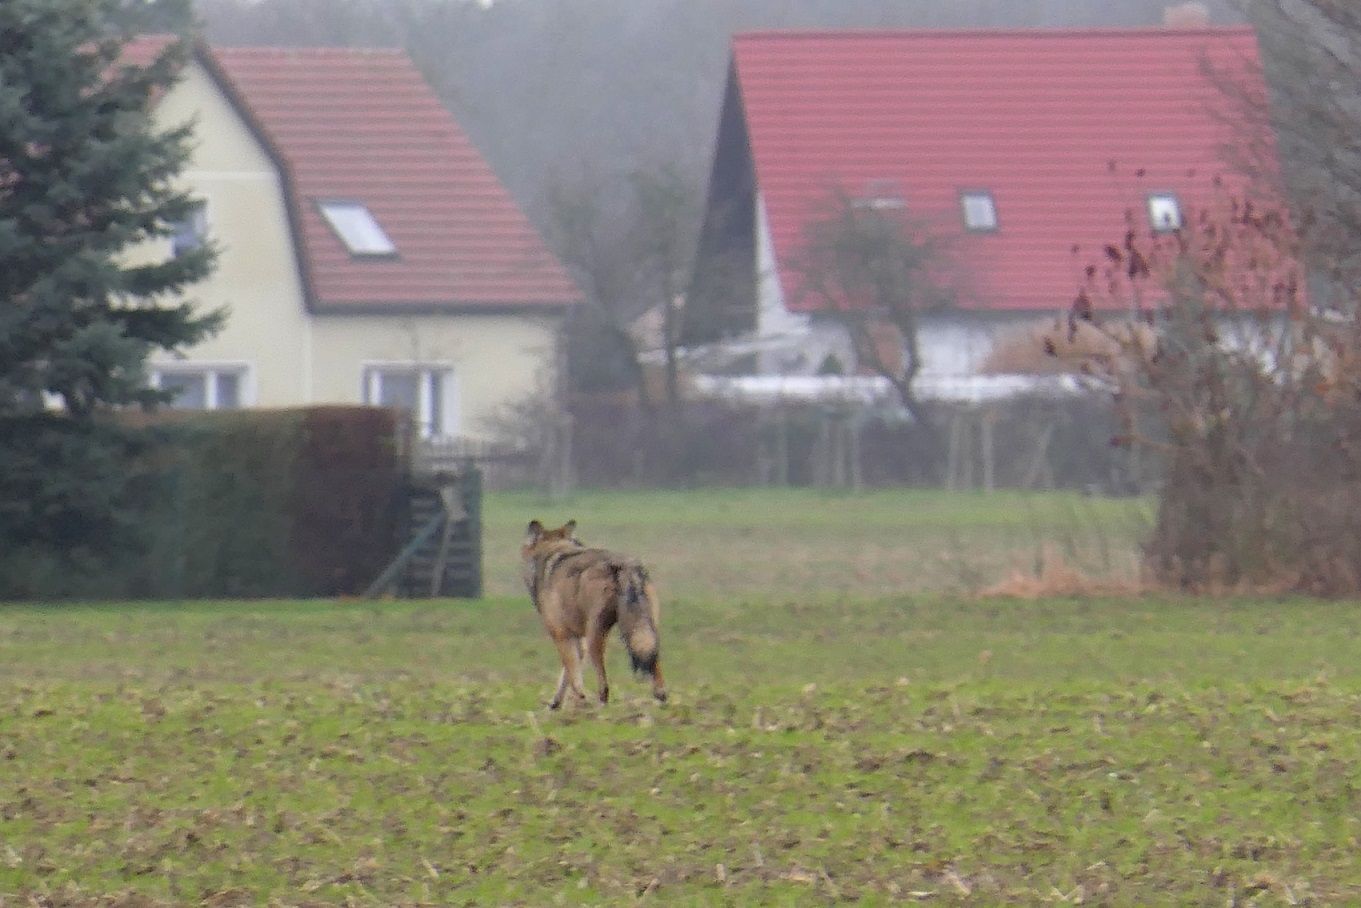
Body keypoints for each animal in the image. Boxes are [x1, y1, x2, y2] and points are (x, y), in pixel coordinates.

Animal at [521, 519, 667, 709]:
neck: (553, 550)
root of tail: (623, 565)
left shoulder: (561, 635)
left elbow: (573, 676)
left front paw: (579, 702)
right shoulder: (578, 639)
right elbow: (566, 675)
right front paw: (555, 703)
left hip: (595, 638)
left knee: (604, 684)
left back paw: (600, 706)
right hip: (646, 630)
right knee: (654, 662)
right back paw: (660, 698)